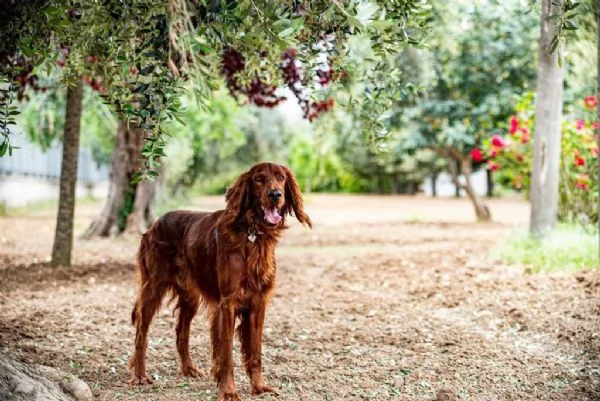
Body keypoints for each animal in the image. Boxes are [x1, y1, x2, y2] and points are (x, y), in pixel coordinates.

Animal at [128, 161, 312, 398]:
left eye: (281, 178)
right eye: (259, 179)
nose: (275, 194)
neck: (251, 235)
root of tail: (154, 224)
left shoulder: (258, 303)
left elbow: (255, 352)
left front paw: (259, 386)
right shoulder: (228, 303)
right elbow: (226, 355)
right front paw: (228, 391)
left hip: (190, 296)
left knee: (181, 332)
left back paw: (188, 368)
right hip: (153, 287)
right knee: (141, 332)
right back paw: (140, 375)